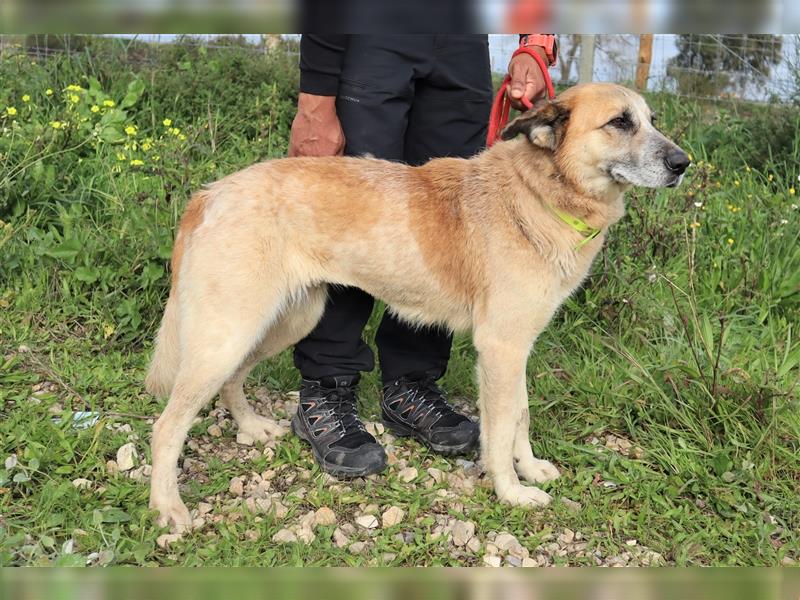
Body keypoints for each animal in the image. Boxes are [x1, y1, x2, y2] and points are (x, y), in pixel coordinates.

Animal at [148, 83, 688, 528]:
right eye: (620, 122)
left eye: (652, 119)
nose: (683, 164)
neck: (540, 193)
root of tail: (211, 192)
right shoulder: (500, 348)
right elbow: (500, 429)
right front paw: (511, 492)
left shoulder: (517, 348)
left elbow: (521, 415)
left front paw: (530, 468)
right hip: (229, 333)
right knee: (166, 426)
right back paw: (168, 508)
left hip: (283, 322)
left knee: (233, 380)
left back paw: (251, 428)